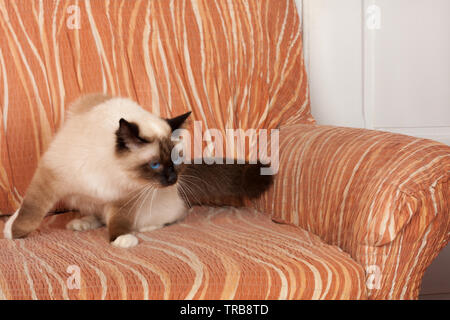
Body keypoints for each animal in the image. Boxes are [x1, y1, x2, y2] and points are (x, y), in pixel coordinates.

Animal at [3, 92, 272, 248]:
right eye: (155, 164)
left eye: (176, 160)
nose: (173, 178)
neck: (112, 172)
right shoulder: (50, 176)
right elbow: (30, 210)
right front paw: (13, 232)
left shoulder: (126, 198)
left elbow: (119, 222)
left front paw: (121, 238)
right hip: (83, 200)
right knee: (96, 215)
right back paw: (82, 223)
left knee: (174, 215)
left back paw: (142, 229)